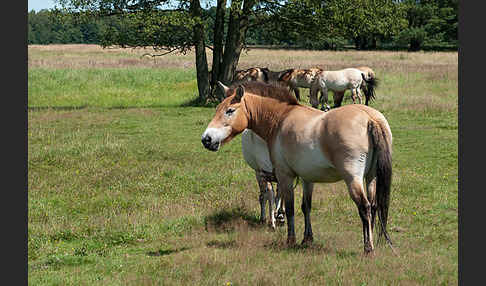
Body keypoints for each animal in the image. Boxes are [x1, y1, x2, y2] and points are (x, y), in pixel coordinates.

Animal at [202, 80, 394, 255]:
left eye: (230, 110)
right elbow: (306, 207)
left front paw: (290, 240)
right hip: (371, 177)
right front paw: (307, 239)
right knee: (374, 206)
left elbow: (290, 208)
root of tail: (369, 118)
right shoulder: (307, 178)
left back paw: (368, 248)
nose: (206, 139)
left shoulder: (285, 176)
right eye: (218, 109)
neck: (281, 118)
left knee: (365, 207)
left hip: (353, 179)